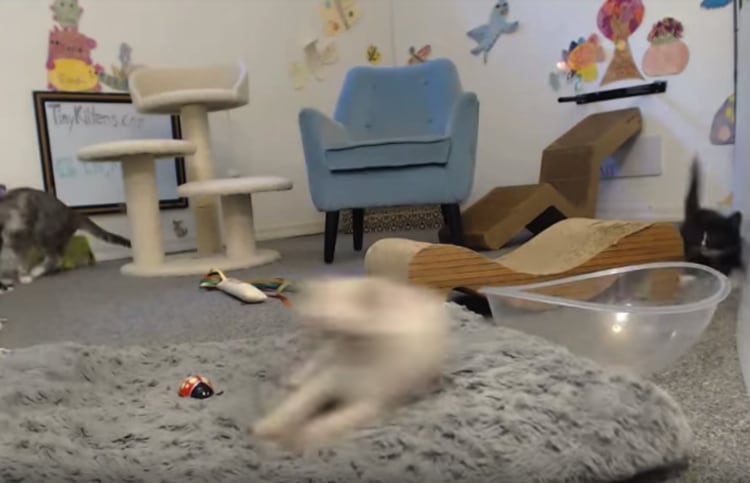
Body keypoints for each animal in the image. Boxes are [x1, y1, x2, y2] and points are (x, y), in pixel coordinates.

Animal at [0, 188, 130, 290]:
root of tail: (72, 212)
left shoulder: (20, 238)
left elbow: (22, 260)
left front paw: (24, 276)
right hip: (56, 238)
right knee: (59, 257)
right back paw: (51, 271)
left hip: (42, 231)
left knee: (55, 257)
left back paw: (37, 271)